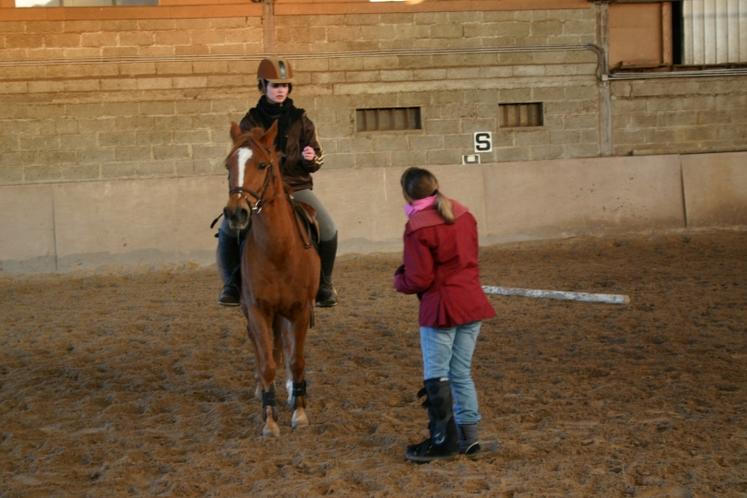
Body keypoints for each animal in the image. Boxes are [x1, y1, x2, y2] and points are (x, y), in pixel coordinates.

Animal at [219, 119, 318, 436]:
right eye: (228, 165)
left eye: (263, 165)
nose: (236, 213)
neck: (278, 250)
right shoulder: (258, 310)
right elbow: (267, 364)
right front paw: (270, 420)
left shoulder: (300, 310)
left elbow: (296, 360)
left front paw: (300, 412)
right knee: (263, 349)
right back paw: (262, 388)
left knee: (284, 346)